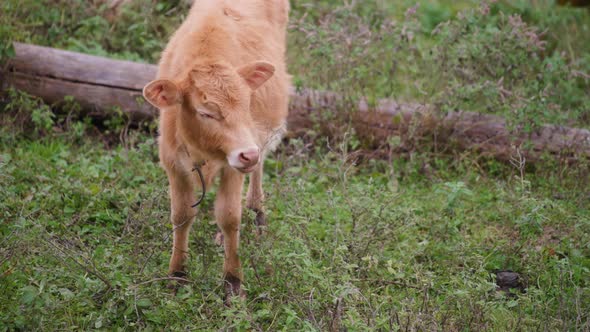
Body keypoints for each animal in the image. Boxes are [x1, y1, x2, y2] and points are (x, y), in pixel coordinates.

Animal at [143, 0, 292, 300]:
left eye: (246, 103)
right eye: (206, 112)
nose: (248, 153)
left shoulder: (234, 166)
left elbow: (229, 216)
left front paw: (232, 282)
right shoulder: (173, 163)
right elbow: (181, 216)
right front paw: (177, 275)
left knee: (257, 173)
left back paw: (257, 213)